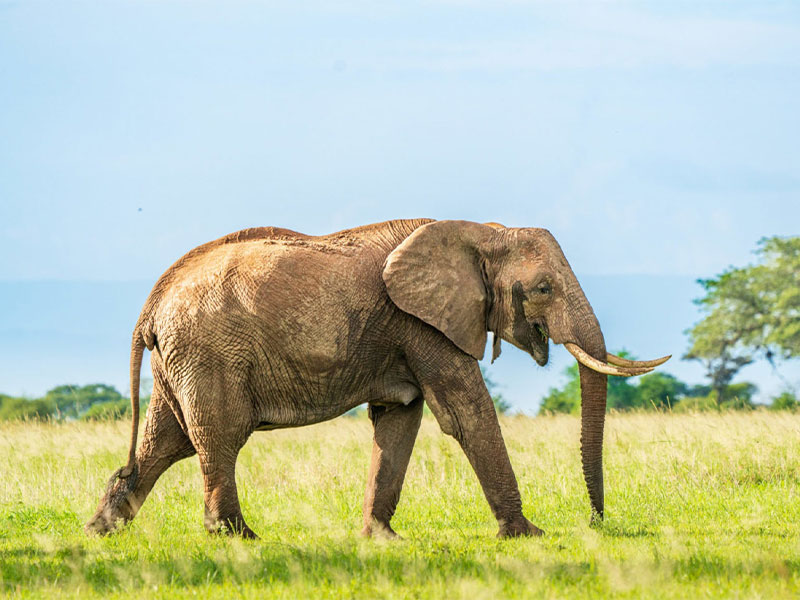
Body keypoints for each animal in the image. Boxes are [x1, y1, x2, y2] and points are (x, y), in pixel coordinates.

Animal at [85, 219, 669, 539]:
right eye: (544, 288)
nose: (596, 523)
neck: (482, 232)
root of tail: (151, 304)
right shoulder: (423, 324)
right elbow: (466, 415)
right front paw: (528, 535)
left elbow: (399, 420)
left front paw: (382, 539)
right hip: (208, 356)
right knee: (219, 439)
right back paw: (240, 538)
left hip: (182, 360)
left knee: (166, 443)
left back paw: (100, 532)